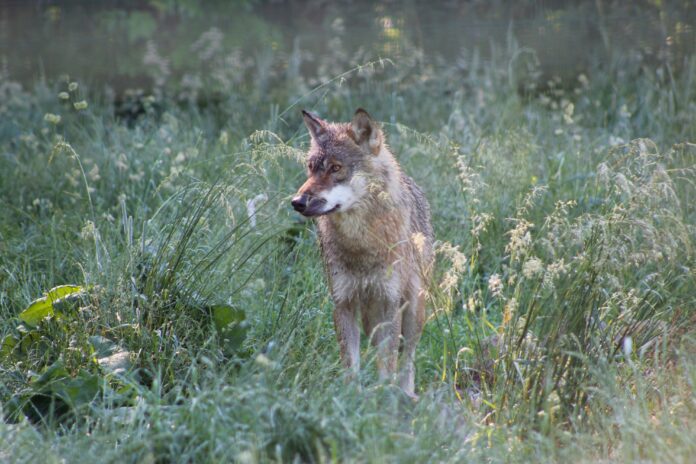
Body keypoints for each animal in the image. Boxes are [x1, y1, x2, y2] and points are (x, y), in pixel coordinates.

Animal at [291, 108, 434, 397]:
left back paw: (407, 394)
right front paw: (352, 398)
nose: (297, 202)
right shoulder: (343, 302)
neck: (361, 244)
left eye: (335, 168)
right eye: (311, 168)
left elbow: (389, 364)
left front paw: (384, 396)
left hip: (414, 309)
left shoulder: (389, 303)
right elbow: (351, 365)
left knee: (408, 358)